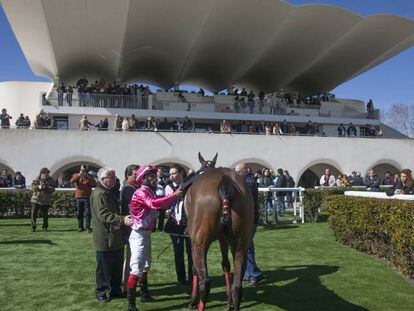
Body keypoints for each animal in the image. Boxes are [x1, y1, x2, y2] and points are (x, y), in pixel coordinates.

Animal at [185, 154, 256, 311]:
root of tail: (225, 180)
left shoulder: (194, 241)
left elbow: (194, 270)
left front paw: (192, 301)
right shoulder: (223, 238)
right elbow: (225, 264)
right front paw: (229, 301)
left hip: (199, 243)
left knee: (205, 282)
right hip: (240, 245)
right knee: (237, 285)